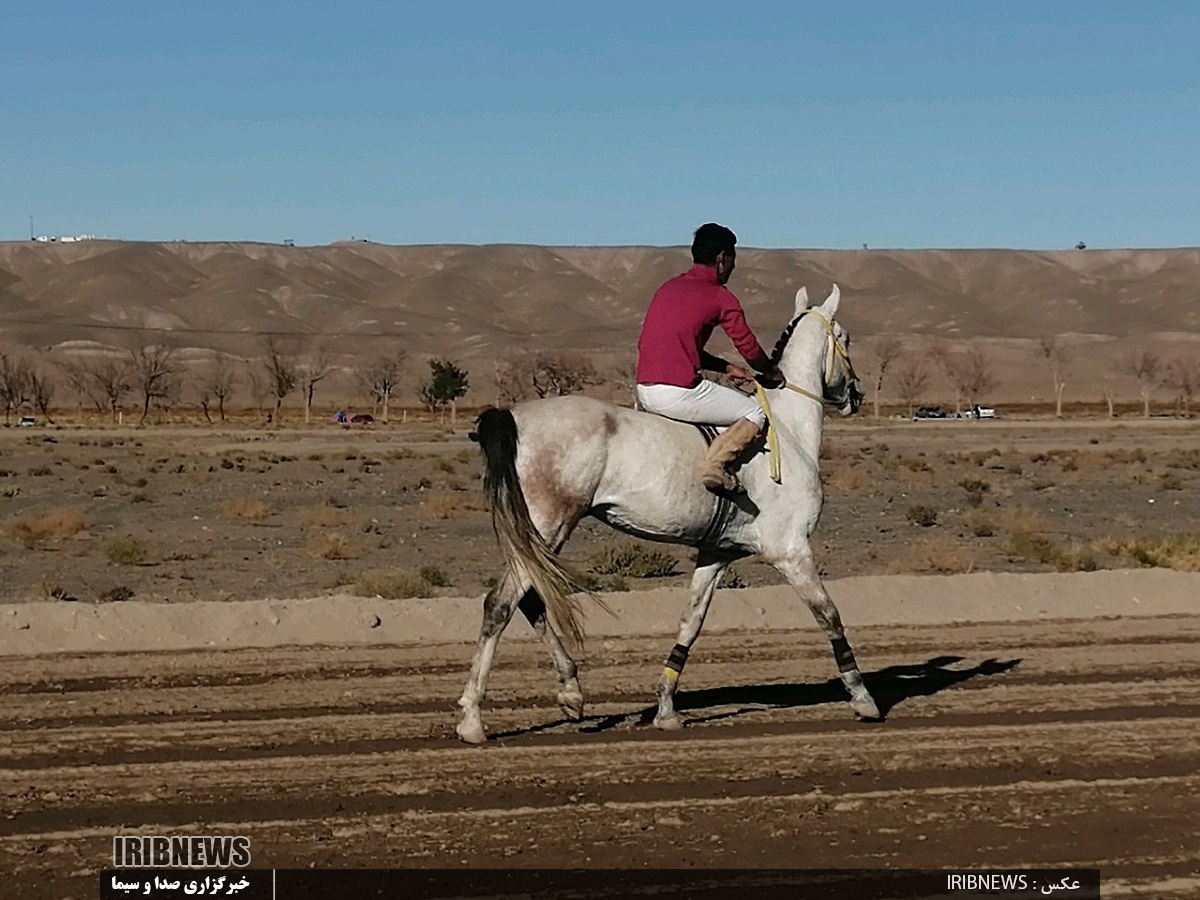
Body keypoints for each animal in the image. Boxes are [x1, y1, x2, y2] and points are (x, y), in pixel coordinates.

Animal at [453, 285, 878, 744]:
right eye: (846, 338)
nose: (856, 396)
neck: (787, 428)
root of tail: (513, 415)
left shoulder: (717, 554)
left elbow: (690, 623)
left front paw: (666, 708)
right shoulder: (791, 550)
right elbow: (829, 615)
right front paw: (863, 699)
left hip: (539, 535)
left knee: (528, 601)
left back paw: (571, 693)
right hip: (549, 526)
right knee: (500, 604)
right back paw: (473, 719)